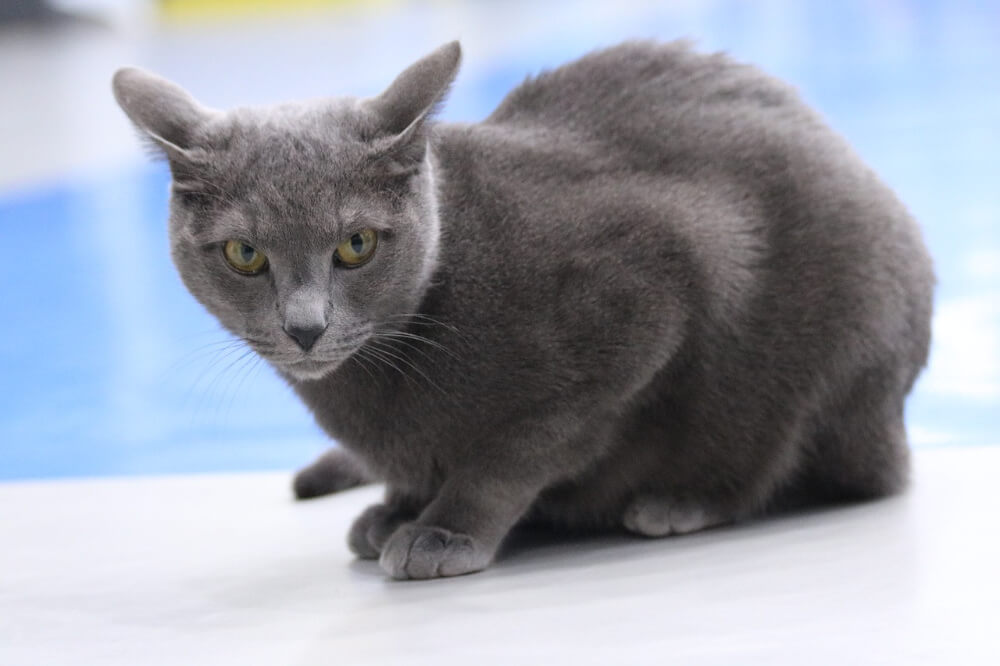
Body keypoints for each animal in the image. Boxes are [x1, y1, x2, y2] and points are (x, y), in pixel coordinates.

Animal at [113, 41, 932, 580]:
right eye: (245, 255)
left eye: (356, 244)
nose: (305, 326)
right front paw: (399, 508)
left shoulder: (647, 302)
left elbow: (516, 451)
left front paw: (443, 530)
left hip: (813, 355)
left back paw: (679, 499)